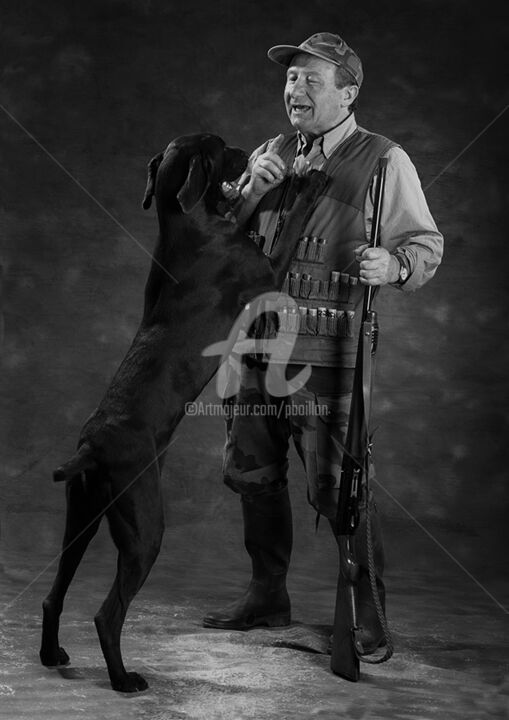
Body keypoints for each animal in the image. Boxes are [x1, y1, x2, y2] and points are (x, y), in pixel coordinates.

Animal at [39, 134, 326, 692]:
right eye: (221, 146)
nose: (246, 149)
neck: (187, 222)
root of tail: (90, 448)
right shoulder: (266, 272)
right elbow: (289, 224)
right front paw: (307, 180)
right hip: (145, 528)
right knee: (107, 613)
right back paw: (124, 679)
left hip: (81, 518)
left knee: (52, 594)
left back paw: (51, 655)